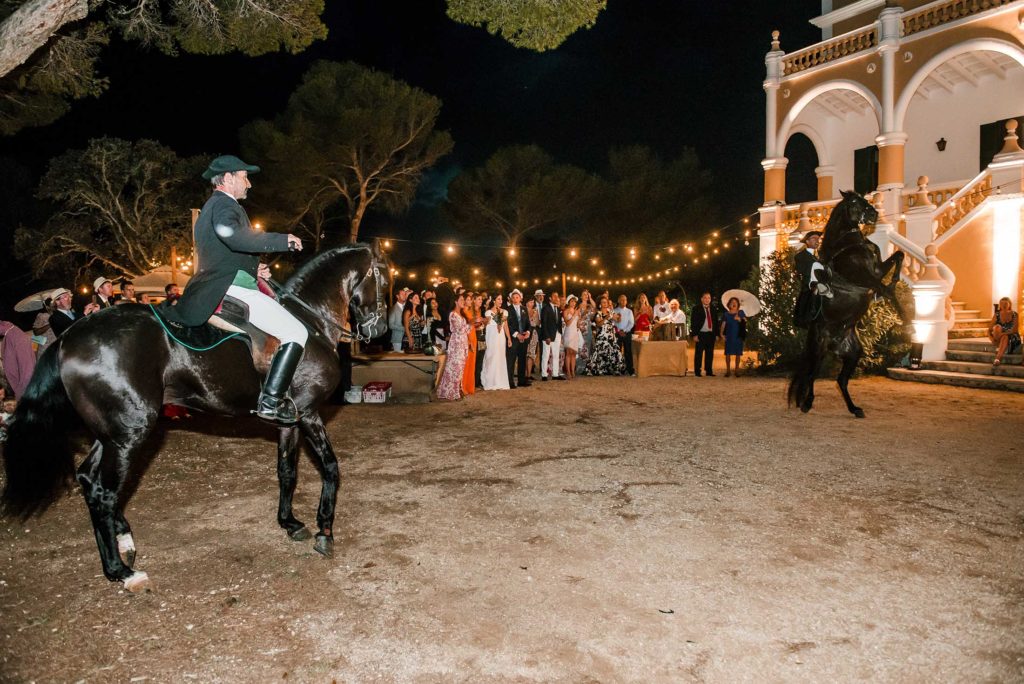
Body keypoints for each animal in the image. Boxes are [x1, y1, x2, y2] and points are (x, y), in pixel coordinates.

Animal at [1, 242, 387, 589]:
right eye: (384, 277)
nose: (378, 331)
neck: (310, 320)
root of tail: (69, 336)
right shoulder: (308, 414)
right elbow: (331, 468)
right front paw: (325, 531)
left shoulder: (289, 419)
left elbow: (287, 472)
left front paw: (289, 522)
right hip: (129, 433)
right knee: (103, 491)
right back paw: (121, 571)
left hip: (111, 432)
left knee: (87, 478)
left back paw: (125, 541)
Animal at [786, 189, 909, 419]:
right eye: (853, 201)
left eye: (863, 198)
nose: (873, 214)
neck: (849, 246)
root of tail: (837, 343)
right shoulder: (864, 276)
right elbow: (885, 289)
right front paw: (905, 317)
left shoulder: (877, 269)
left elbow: (899, 255)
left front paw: (895, 282)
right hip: (820, 349)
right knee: (812, 375)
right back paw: (807, 403)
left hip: (853, 353)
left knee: (841, 380)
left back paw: (854, 409)